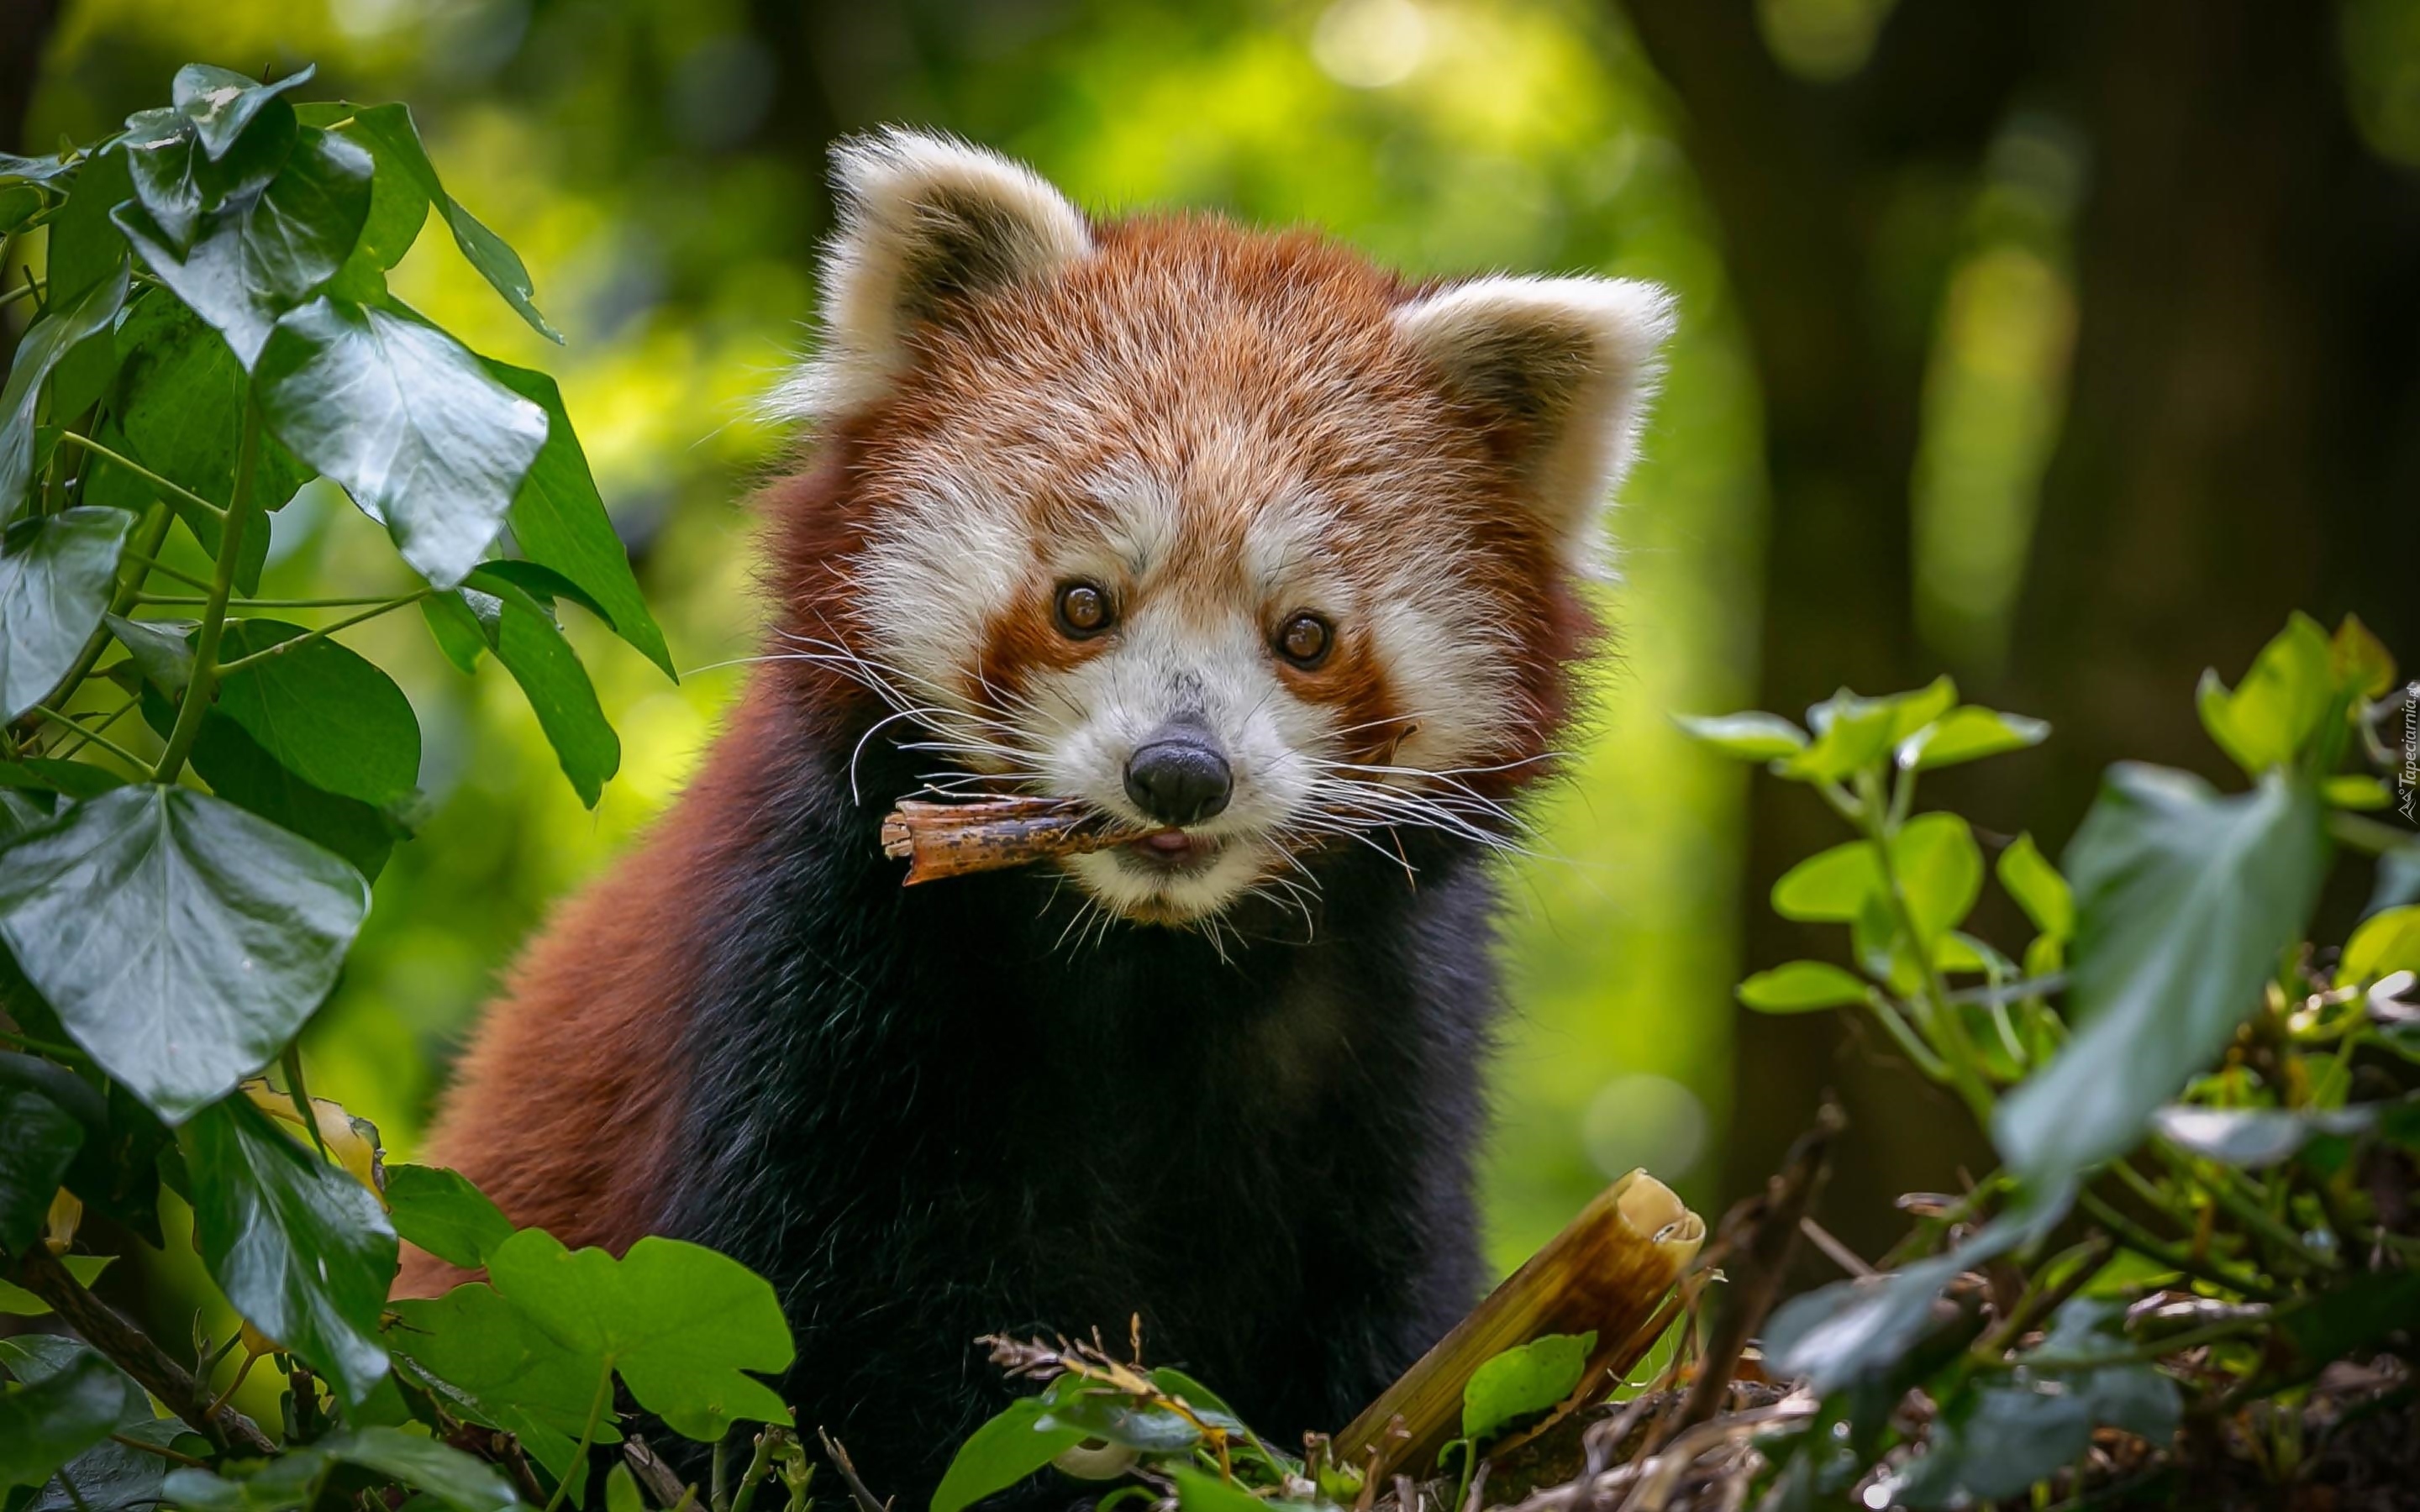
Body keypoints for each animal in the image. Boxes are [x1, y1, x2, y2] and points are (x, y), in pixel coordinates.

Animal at [406, 129, 1674, 1499]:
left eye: (1307, 637)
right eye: (1082, 603)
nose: (1179, 773)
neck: (1140, 967)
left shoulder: (1386, 1045)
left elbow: (1389, 1316)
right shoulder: (806, 986)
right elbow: (801, 1349)